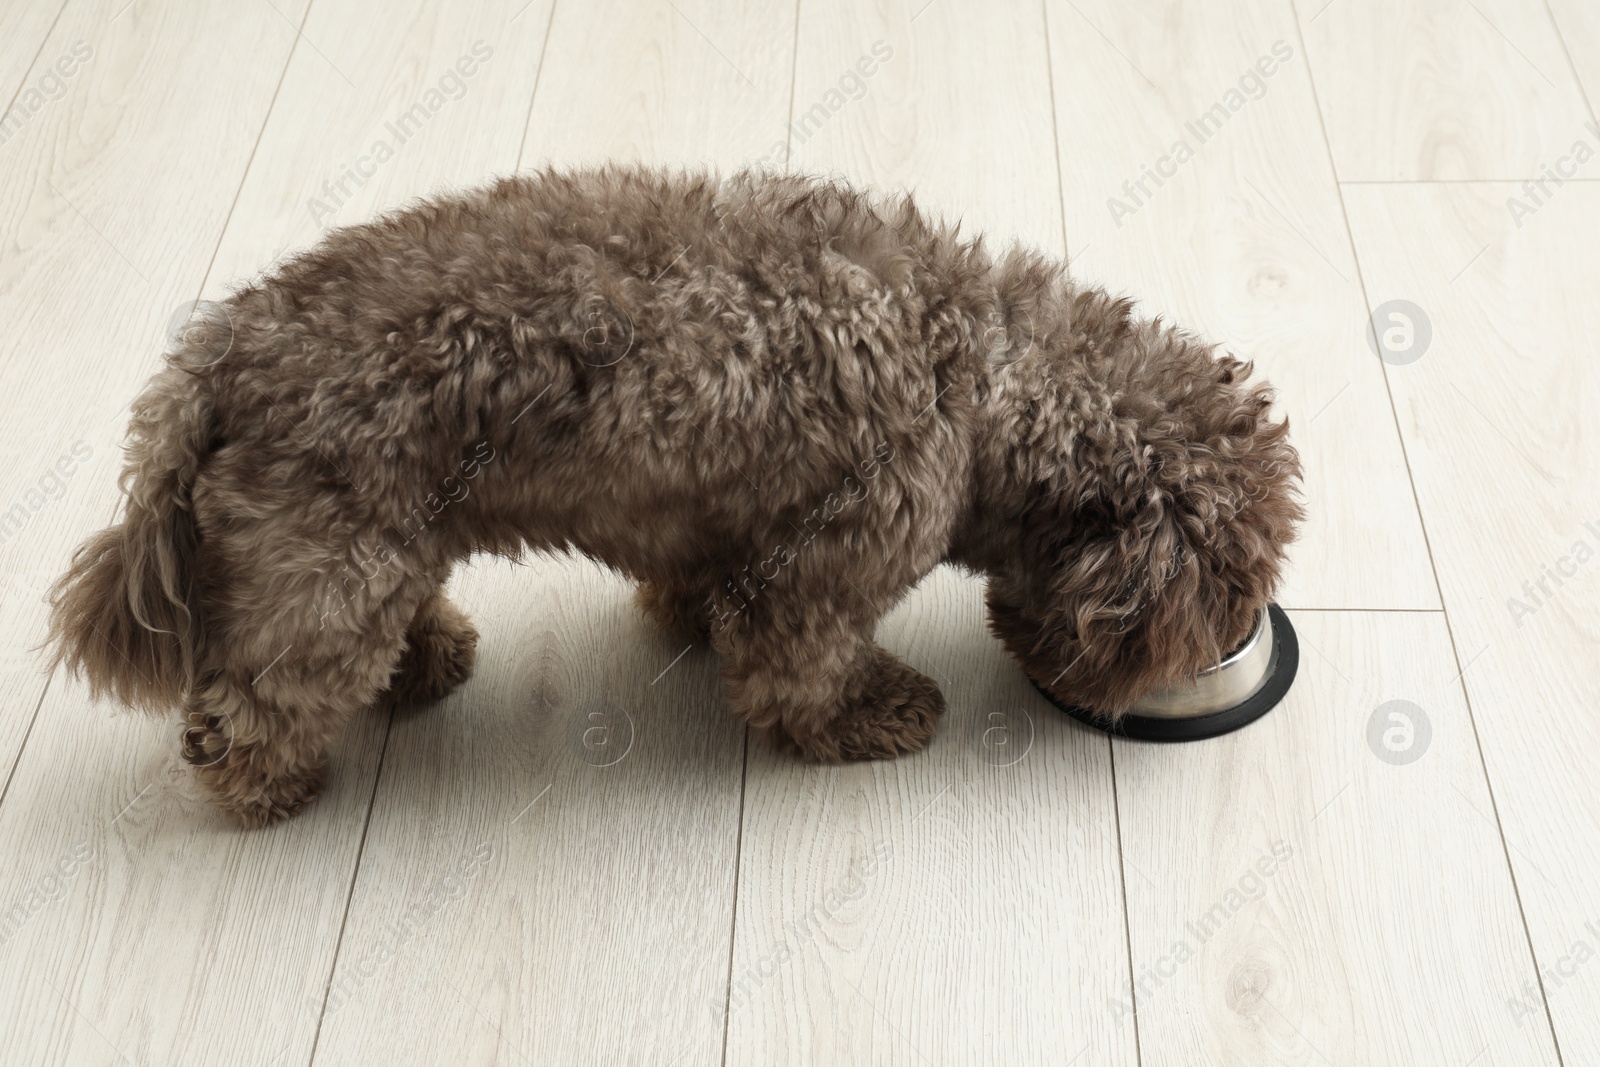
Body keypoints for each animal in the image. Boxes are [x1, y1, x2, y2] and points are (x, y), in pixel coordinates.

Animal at [46, 167, 1299, 831]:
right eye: (1229, 593)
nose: (1243, 636)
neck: (979, 373)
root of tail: (218, 360)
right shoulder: (823, 565)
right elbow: (803, 668)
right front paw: (869, 713)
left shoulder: (726, 526)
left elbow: (699, 590)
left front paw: (685, 624)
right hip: (328, 570)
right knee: (245, 705)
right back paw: (268, 787)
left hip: (374, 547)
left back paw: (421, 660)